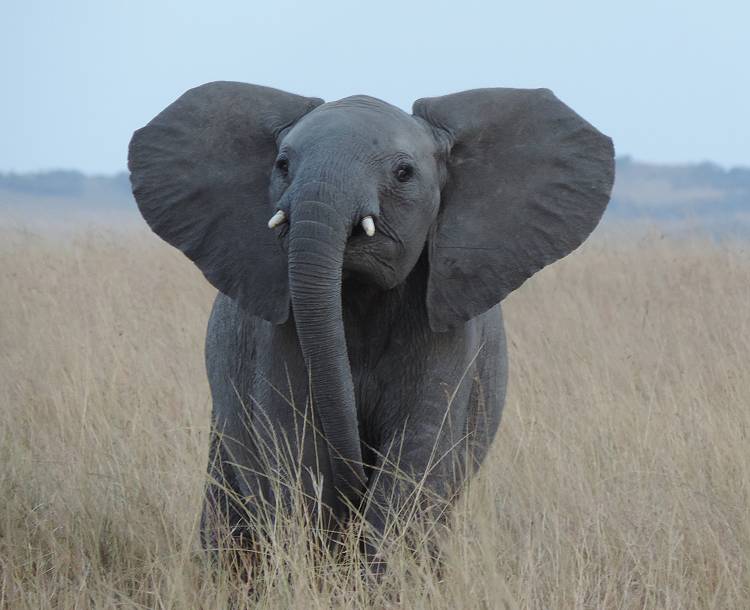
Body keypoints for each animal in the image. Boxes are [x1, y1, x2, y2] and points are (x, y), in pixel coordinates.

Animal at [126, 82, 612, 564]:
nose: (355, 481)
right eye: (282, 165)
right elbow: (293, 452)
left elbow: (418, 451)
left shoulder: (447, 332)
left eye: (403, 173)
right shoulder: (274, 332)